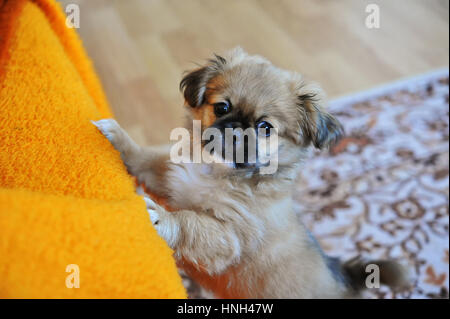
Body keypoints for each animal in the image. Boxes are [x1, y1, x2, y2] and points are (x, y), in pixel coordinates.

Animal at [93, 48, 410, 300]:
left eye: (265, 127)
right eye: (222, 107)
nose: (235, 128)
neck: (217, 171)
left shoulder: (229, 234)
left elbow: (189, 222)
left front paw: (160, 217)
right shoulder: (172, 179)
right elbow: (145, 160)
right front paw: (118, 138)